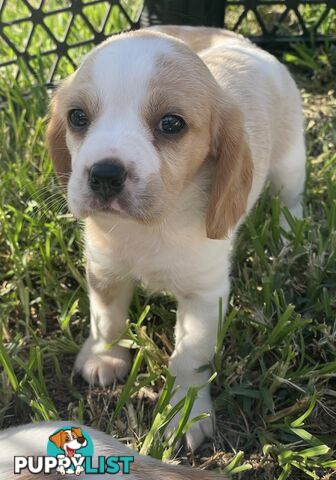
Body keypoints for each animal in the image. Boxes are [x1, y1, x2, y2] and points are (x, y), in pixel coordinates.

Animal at [47, 26, 308, 452]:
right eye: (77, 117)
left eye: (171, 123)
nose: (104, 175)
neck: (150, 227)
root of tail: (242, 41)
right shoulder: (104, 271)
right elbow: (106, 319)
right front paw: (103, 357)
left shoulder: (204, 297)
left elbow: (187, 359)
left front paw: (183, 416)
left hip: (291, 161)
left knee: (291, 198)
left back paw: (289, 233)